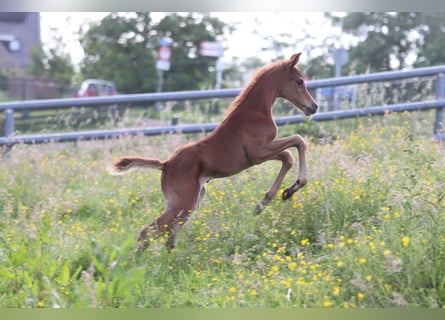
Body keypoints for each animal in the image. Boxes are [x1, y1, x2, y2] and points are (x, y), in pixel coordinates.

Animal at [111, 52, 320, 250]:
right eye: (300, 81)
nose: (314, 106)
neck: (254, 113)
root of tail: (166, 164)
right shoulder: (258, 153)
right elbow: (298, 142)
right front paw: (293, 187)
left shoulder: (263, 152)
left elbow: (288, 157)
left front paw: (273, 198)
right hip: (182, 203)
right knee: (149, 231)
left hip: (190, 202)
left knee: (169, 233)